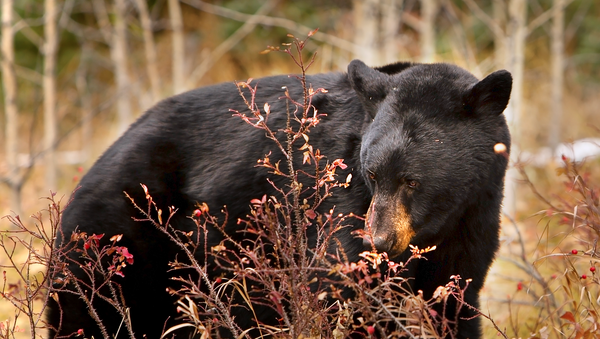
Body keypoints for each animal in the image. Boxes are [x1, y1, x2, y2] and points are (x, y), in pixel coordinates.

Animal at [48, 59, 510, 338]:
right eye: (373, 174)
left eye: (412, 181)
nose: (378, 242)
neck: (438, 223)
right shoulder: (337, 203)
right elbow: (343, 291)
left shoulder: (476, 216)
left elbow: (454, 300)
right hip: (117, 240)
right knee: (89, 311)